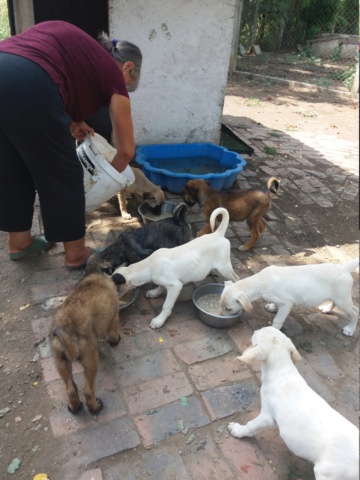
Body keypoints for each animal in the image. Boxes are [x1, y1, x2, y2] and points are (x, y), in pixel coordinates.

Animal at [48, 274, 121, 412]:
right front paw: (115, 340)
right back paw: (95, 407)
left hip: (60, 360)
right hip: (90, 359)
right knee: (88, 390)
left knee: (70, 389)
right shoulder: (114, 316)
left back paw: (74, 407)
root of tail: (67, 328)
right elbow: (113, 331)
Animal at [221, 258, 358, 334]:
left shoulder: (286, 304)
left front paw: (273, 330)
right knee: (334, 303)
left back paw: (350, 329)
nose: (221, 316)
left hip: (343, 300)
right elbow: (275, 305)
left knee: (355, 312)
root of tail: (344, 268)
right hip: (337, 297)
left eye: (228, 309)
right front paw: (272, 307)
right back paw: (327, 309)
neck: (261, 281)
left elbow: (278, 320)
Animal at [229, 326, 358, 480]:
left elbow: (250, 426)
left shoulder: (267, 416)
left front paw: (237, 430)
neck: (282, 371)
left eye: (258, 334)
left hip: (326, 473)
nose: (254, 330)